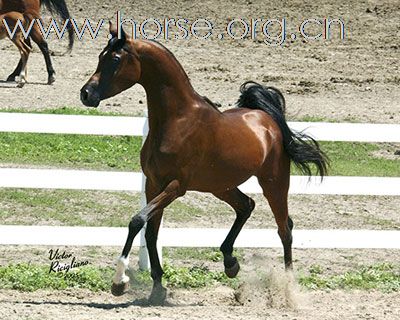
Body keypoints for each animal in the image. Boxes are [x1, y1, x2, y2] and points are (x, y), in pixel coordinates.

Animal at [80, 24, 328, 304]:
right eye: (100, 56)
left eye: (114, 60)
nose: (86, 94)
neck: (176, 120)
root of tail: (266, 119)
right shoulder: (153, 184)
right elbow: (151, 232)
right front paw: (157, 289)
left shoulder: (175, 186)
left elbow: (137, 221)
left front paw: (119, 281)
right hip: (220, 186)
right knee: (246, 206)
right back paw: (230, 263)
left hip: (274, 182)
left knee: (284, 228)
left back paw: (288, 290)